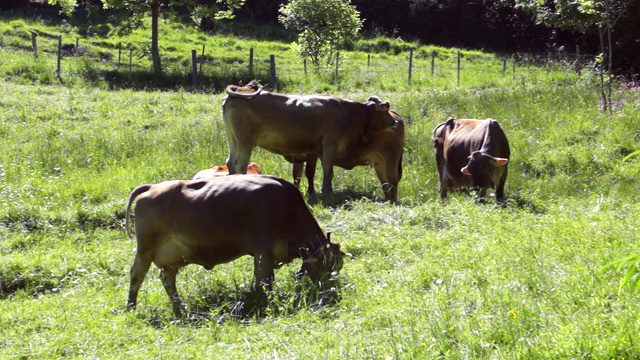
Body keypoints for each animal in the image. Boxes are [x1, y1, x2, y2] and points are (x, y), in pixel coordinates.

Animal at [123, 175, 348, 318]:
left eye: (337, 265)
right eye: (326, 264)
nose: (329, 290)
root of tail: (153, 187)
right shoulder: (263, 252)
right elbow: (265, 281)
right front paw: (265, 303)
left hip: (172, 258)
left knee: (167, 279)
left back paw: (180, 310)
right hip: (146, 249)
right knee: (137, 274)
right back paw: (131, 308)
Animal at [222, 81, 398, 200]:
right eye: (385, 109)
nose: (396, 122)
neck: (348, 113)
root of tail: (239, 90)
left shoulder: (314, 150)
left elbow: (308, 173)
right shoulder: (330, 144)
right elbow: (328, 170)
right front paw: (327, 191)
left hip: (233, 139)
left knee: (230, 162)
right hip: (245, 141)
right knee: (240, 164)